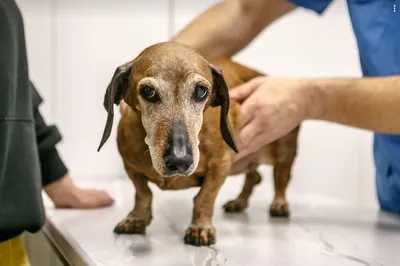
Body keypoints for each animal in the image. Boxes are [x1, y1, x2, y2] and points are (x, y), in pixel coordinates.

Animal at [97, 41, 298, 247]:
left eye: (201, 91)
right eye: (148, 91)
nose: (179, 161)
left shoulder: (220, 166)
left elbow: (204, 197)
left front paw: (200, 228)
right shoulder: (130, 166)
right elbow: (143, 193)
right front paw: (136, 218)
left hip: (284, 153)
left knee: (280, 180)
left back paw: (279, 204)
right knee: (254, 176)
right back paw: (239, 202)